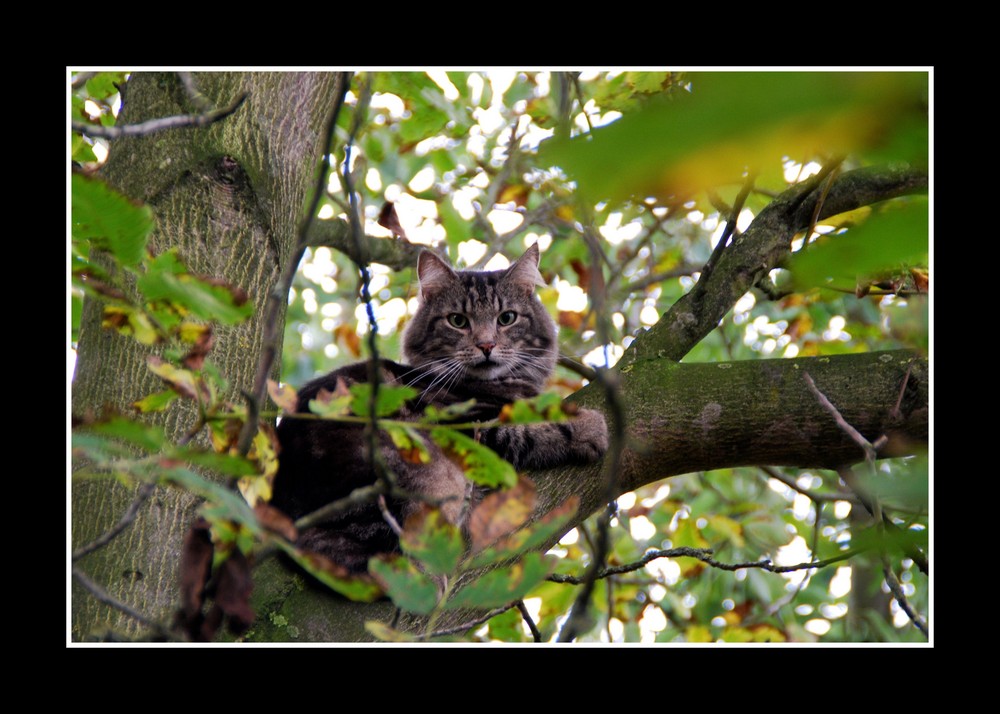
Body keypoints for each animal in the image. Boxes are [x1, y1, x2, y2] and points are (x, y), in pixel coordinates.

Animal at [270, 242, 604, 572]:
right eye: (458, 321)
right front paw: (590, 425)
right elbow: (529, 430)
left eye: (507, 318)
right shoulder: (467, 427)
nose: (486, 345)